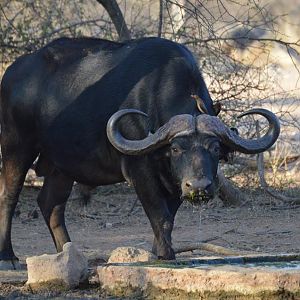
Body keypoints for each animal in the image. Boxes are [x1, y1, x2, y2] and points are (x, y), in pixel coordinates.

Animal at [0, 36, 278, 268]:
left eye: (215, 148)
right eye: (175, 149)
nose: (199, 187)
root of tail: (11, 73)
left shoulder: (174, 182)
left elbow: (169, 217)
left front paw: (158, 252)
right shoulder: (140, 171)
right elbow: (160, 215)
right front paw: (166, 255)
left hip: (62, 165)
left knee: (51, 204)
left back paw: (66, 253)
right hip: (16, 146)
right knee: (9, 195)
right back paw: (9, 257)